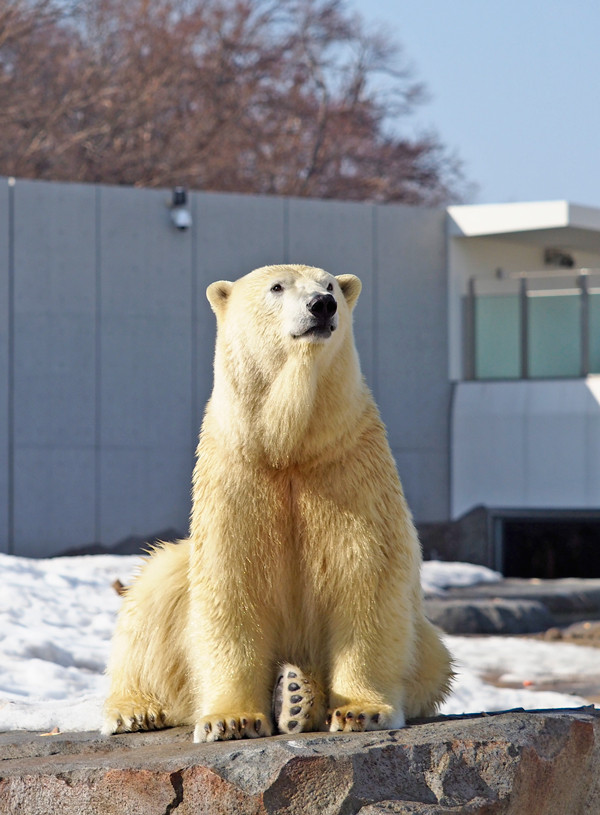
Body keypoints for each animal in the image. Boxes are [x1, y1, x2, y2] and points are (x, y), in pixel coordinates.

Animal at [103, 264, 452, 744]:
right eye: (276, 287)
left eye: (330, 286)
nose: (322, 306)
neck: (289, 448)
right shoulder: (237, 475)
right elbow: (231, 587)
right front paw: (231, 720)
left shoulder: (349, 469)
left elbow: (365, 578)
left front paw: (360, 711)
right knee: (152, 590)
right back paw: (134, 710)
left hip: (429, 648)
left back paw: (296, 697)